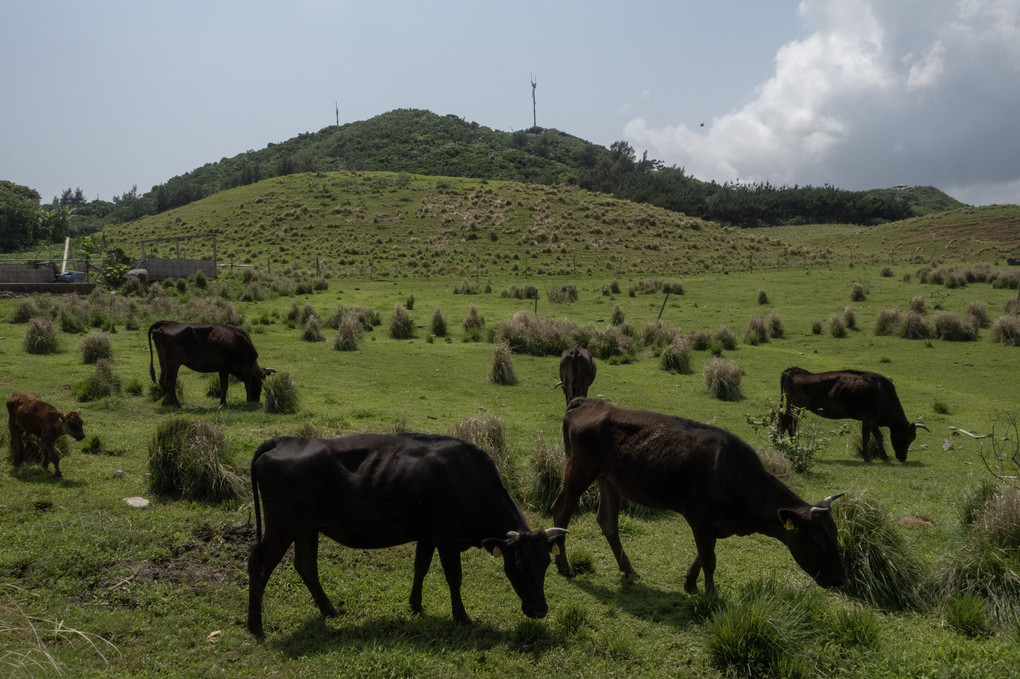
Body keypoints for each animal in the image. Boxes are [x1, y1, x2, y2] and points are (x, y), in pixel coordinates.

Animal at [146, 318, 275, 403]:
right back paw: (176, 404)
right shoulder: (242, 370)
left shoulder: (223, 369)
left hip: (163, 361)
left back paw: (167, 401)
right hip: (173, 363)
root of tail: (167, 322)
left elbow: (224, 386)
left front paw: (223, 403)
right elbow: (245, 385)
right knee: (169, 382)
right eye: (261, 382)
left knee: (162, 380)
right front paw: (247, 400)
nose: (256, 399)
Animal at [246, 434, 567, 636]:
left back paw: (329, 610)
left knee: (306, 566)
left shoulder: (426, 535)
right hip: (281, 527)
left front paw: (415, 605)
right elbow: (454, 578)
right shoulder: (447, 540)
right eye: (519, 565)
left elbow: (420, 568)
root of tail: (285, 440)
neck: (470, 480)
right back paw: (255, 625)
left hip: (306, 529)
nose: (540, 610)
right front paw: (461, 617)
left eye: (546, 563)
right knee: (259, 565)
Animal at [550, 397, 844, 591]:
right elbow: (709, 559)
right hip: (578, 471)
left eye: (835, 535)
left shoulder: (715, 524)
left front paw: (691, 583)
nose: (839, 580)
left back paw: (629, 570)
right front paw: (710, 596)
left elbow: (703, 555)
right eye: (818, 541)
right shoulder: (699, 517)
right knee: (561, 510)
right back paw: (564, 566)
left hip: (609, 480)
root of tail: (586, 402)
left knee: (608, 522)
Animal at [775, 367, 930, 462]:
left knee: (791, 424)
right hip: (793, 407)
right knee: (784, 422)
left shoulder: (873, 421)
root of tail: (794, 370)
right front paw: (867, 457)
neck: (882, 392)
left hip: (796, 409)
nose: (903, 457)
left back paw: (794, 445)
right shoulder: (867, 419)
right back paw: (781, 445)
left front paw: (884, 457)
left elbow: (878, 437)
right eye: (907, 437)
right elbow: (866, 437)